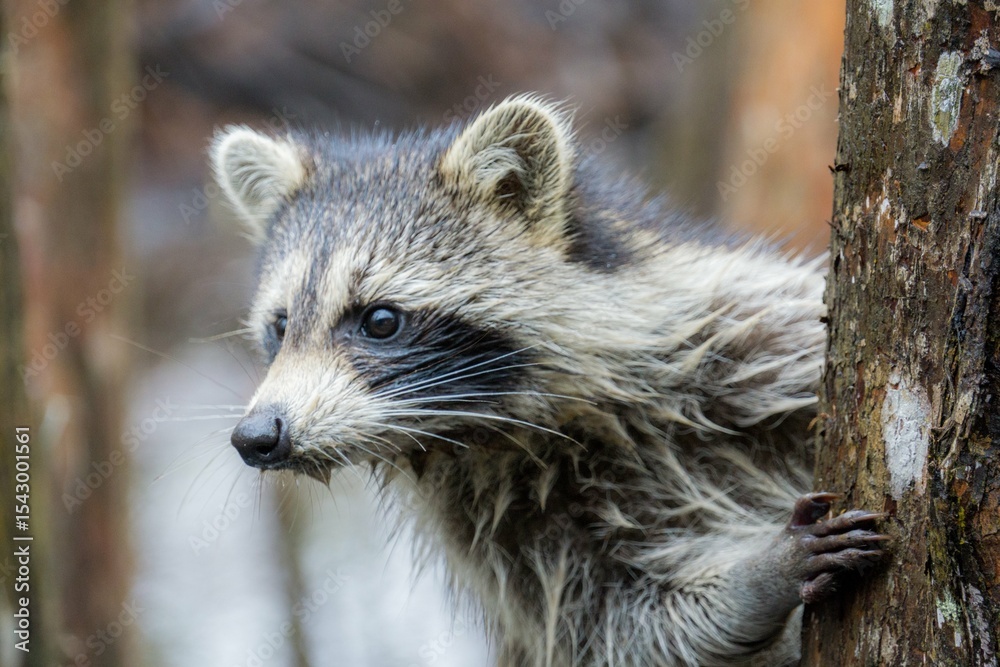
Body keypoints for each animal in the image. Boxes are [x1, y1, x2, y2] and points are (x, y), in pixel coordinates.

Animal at [210, 95, 887, 667]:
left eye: (379, 320)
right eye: (280, 327)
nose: (257, 436)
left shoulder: (743, 338)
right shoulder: (505, 531)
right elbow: (620, 627)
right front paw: (752, 584)